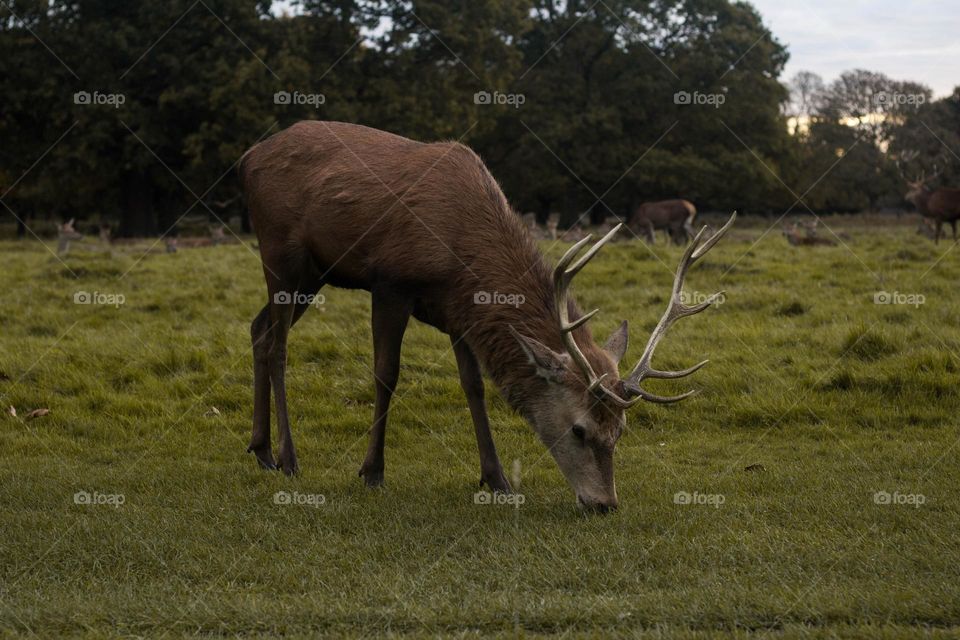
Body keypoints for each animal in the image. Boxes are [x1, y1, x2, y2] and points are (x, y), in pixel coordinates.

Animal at [239, 121, 734, 512]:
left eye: (621, 430)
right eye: (579, 430)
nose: (605, 504)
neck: (460, 253)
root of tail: (246, 158)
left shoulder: (459, 309)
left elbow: (474, 386)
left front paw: (496, 479)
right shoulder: (390, 283)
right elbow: (386, 375)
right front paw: (372, 471)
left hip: (314, 274)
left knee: (258, 328)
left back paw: (260, 450)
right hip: (280, 253)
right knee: (279, 344)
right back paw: (288, 457)